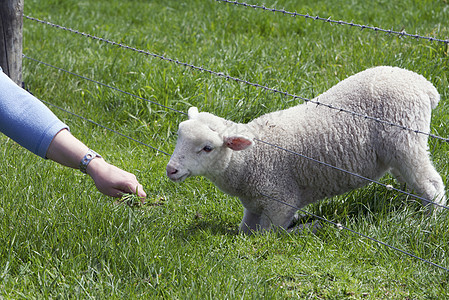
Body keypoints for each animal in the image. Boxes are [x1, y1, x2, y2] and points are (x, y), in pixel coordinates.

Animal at [164, 66, 444, 234]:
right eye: (179, 136)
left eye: (207, 148)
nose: (171, 169)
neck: (250, 159)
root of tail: (424, 84)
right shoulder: (254, 204)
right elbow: (245, 233)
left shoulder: (281, 200)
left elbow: (269, 235)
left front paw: (306, 228)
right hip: (395, 150)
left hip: (407, 137)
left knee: (432, 183)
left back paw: (431, 219)